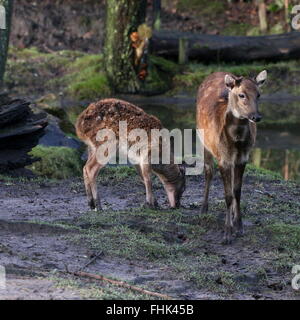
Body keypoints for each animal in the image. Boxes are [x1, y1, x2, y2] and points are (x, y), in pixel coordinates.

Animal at [197, 71, 268, 244]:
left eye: (259, 94)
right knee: (208, 172)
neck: (236, 140)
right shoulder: (223, 159)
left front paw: (239, 227)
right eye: (241, 94)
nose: (256, 117)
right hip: (204, 141)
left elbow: (237, 191)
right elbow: (228, 195)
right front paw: (227, 234)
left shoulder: (243, 157)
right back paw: (203, 209)